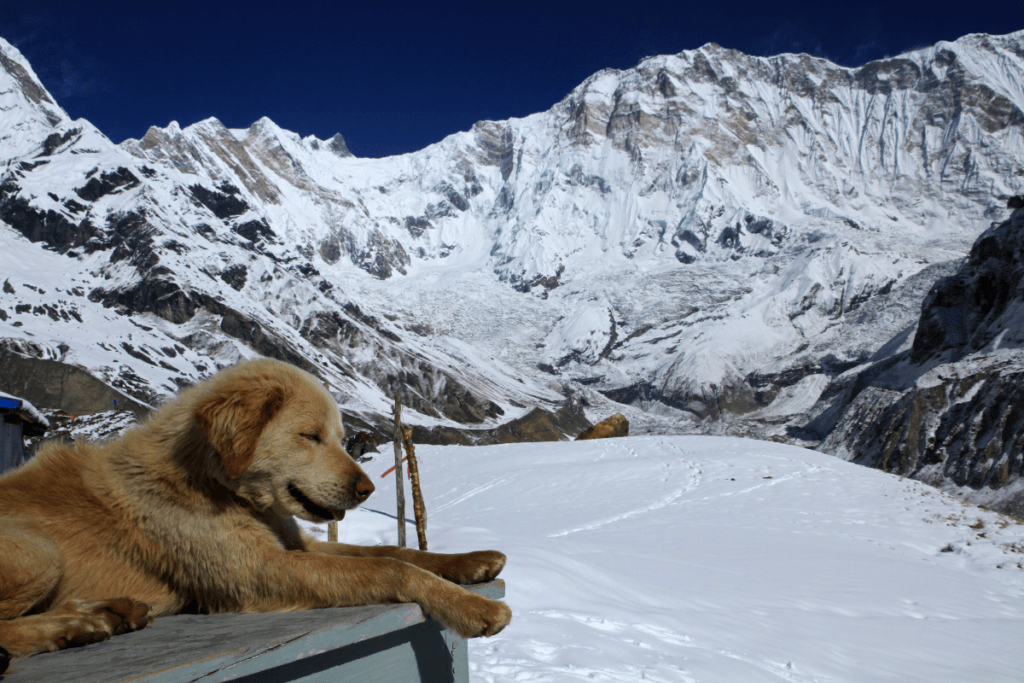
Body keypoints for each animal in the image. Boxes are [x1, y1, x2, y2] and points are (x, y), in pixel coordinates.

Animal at [0, 360, 512, 671]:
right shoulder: (260, 571)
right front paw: (473, 607)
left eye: (340, 437)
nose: (366, 489)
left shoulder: (299, 544)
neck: (219, 482)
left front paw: (469, 561)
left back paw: (111, 611)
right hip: (38, 550)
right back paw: (73, 627)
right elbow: (389, 567)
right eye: (310, 436)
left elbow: (393, 549)